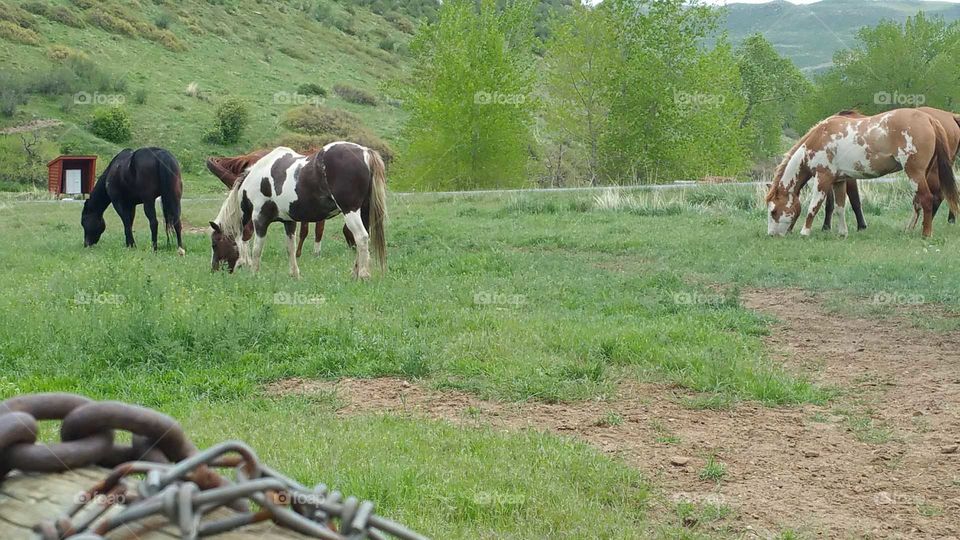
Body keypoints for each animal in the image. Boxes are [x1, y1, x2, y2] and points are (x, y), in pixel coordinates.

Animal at [764, 108, 960, 237]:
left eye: (773, 211)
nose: (771, 235)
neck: (819, 137)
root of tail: (929, 119)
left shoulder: (823, 178)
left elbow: (814, 206)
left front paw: (805, 232)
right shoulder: (839, 181)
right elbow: (839, 207)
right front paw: (842, 232)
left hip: (916, 173)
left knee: (927, 199)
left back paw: (926, 233)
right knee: (922, 201)